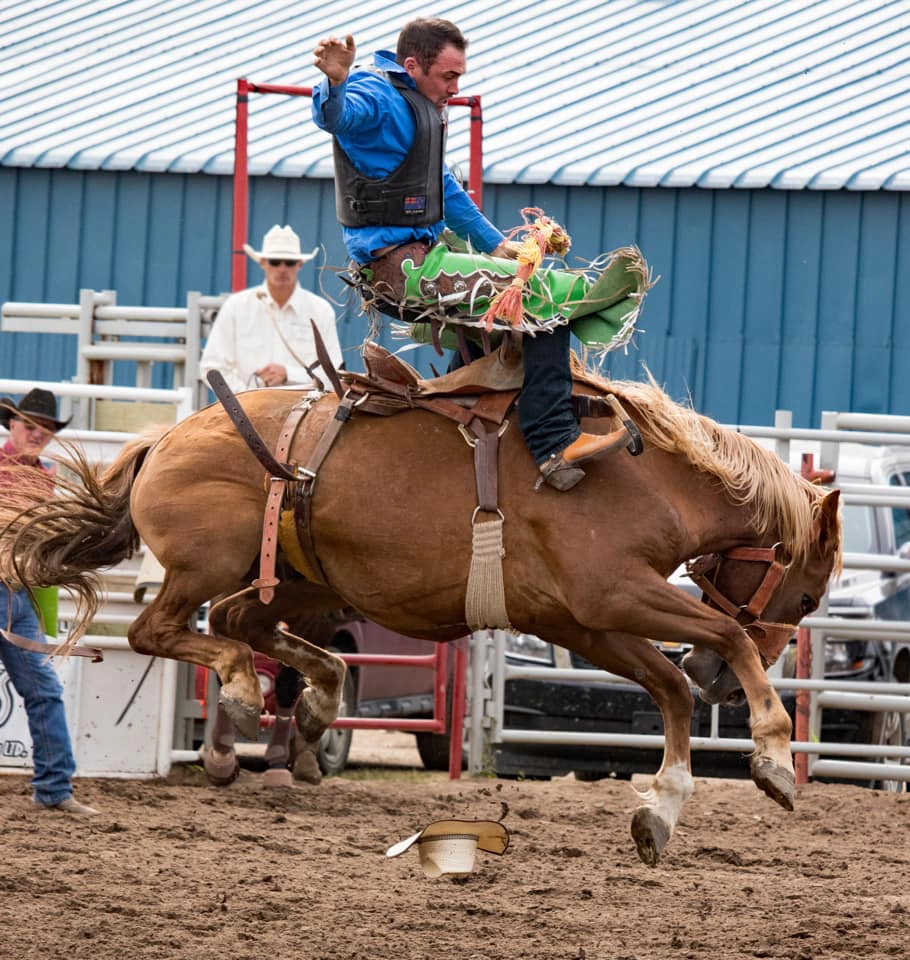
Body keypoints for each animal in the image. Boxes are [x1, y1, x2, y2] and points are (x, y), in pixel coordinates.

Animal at [0, 351, 841, 864]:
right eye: (806, 595)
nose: (718, 683)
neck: (643, 475)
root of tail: (167, 438)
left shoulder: (579, 620)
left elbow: (667, 689)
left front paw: (659, 812)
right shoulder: (612, 596)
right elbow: (729, 630)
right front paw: (773, 756)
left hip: (303, 579)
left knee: (246, 625)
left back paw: (312, 709)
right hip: (207, 565)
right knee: (163, 630)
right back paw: (241, 694)